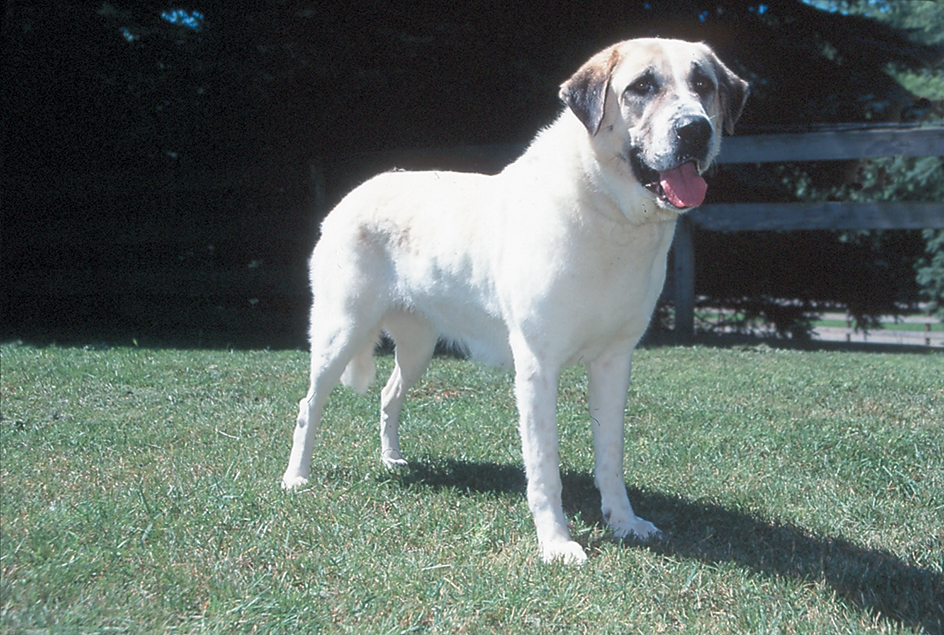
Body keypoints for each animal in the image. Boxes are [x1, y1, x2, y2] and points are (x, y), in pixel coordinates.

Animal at [280, 38, 744, 568]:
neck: (605, 208)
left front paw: (624, 523)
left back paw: (392, 460)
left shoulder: (614, 362)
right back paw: (296, 478)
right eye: (642, 86)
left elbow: (611, 456)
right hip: (341, 331)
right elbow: (544, 467)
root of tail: (355, 192)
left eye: (703, 84)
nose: (696, 130)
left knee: (389, 394)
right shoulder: (538, 366)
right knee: (309, 405)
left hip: (417, 346)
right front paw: (557, 543)